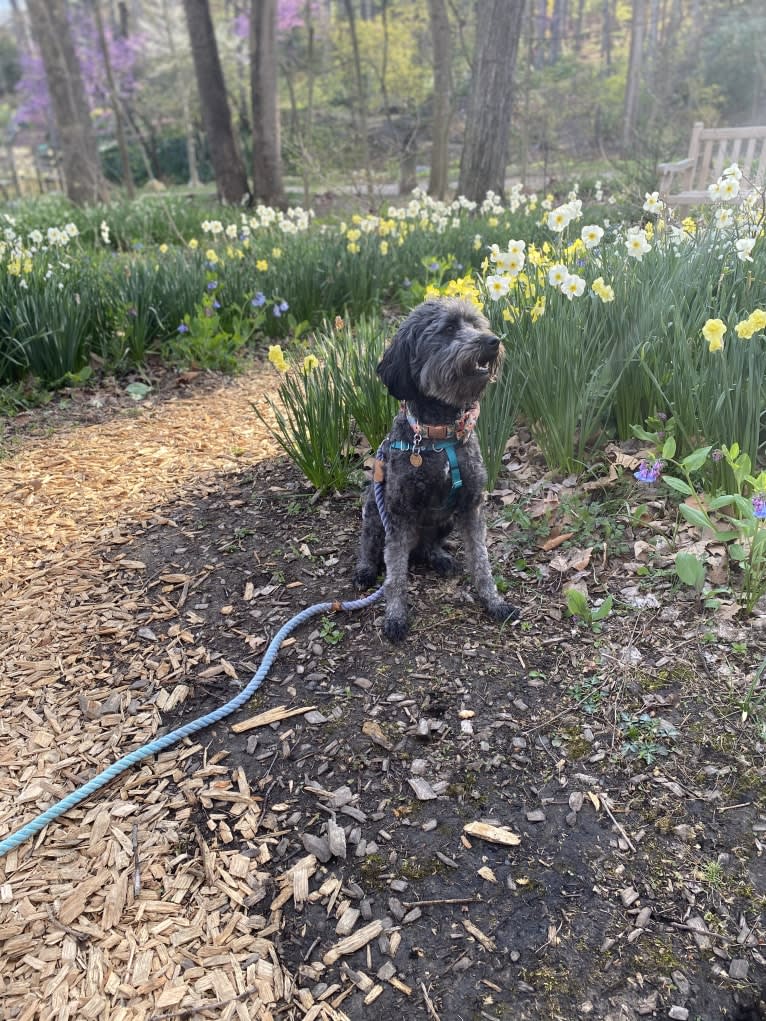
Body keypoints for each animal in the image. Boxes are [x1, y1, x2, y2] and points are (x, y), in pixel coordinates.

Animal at [353, 296, 522, 637]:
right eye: (447, 330)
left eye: (476, 324)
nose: (493, 341)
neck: (441, 436)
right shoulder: (399, 515)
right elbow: (395, 575)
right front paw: (395, 616)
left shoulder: (471, 506)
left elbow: (481, 561)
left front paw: (494, 602)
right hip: (376, 514)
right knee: (370, 546)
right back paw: (365, 569)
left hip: (444, 521)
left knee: (427, 546)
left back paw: (439, 557)